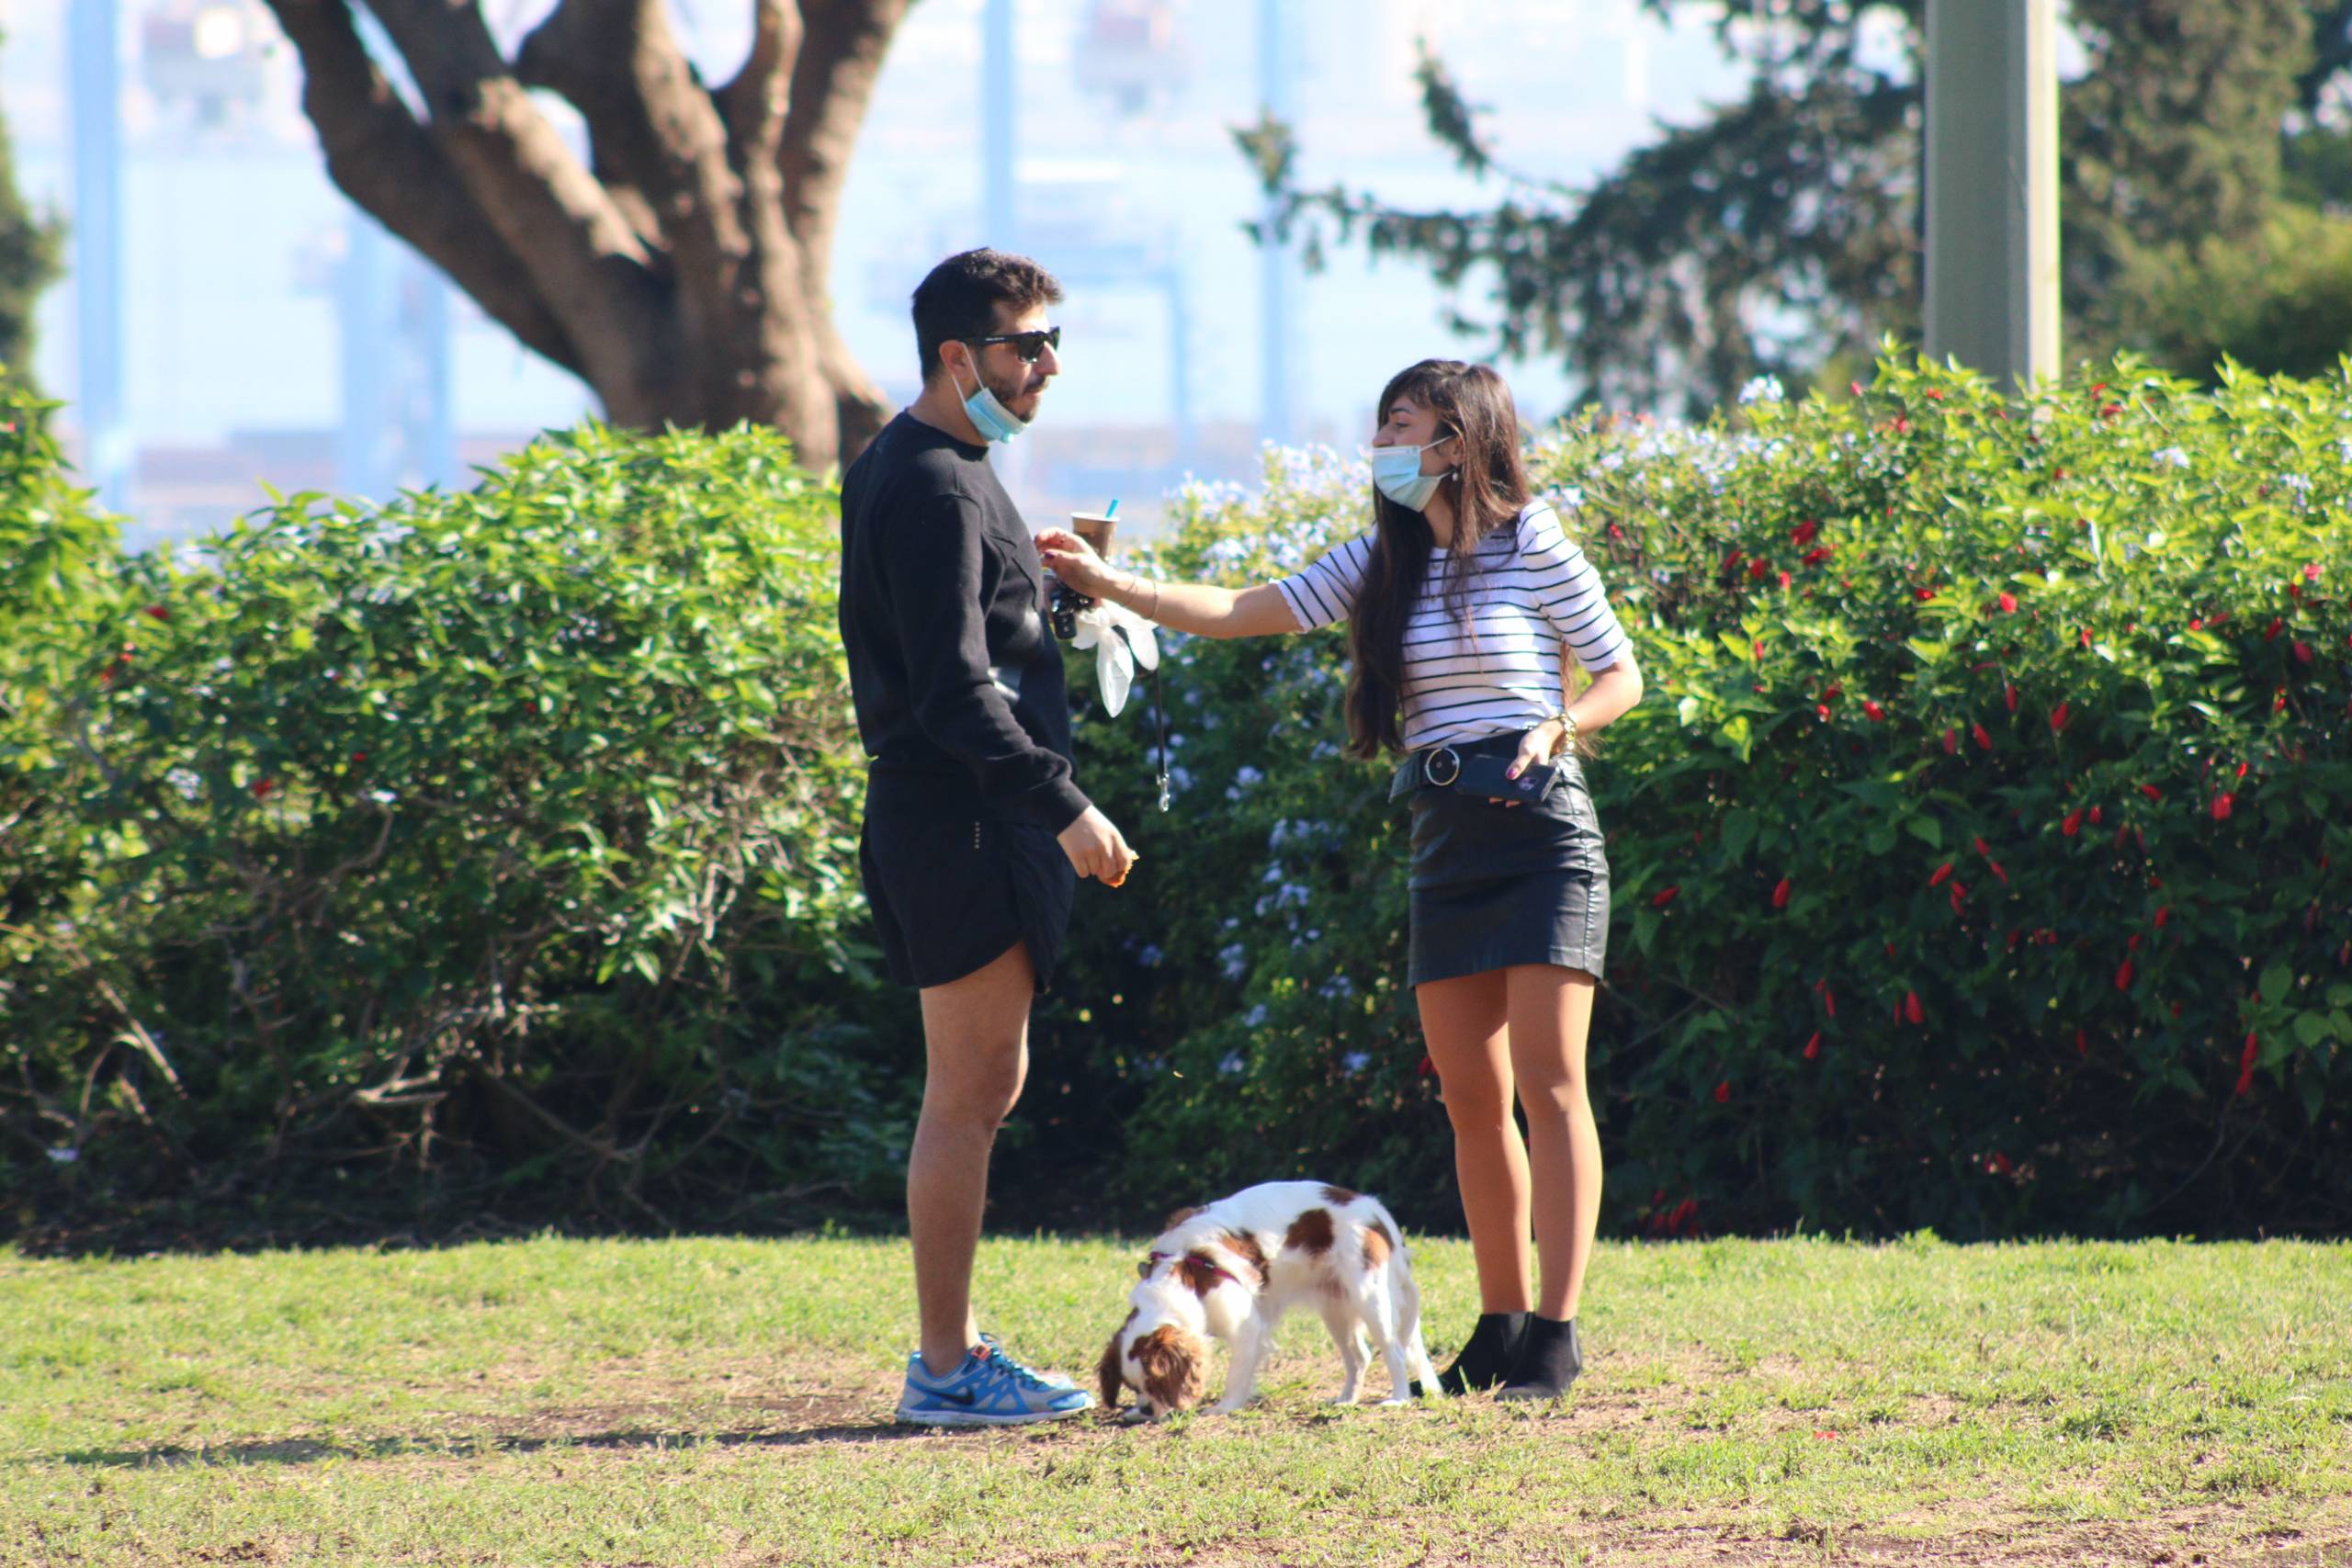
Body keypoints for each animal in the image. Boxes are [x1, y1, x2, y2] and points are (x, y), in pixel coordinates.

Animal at [1095, 1175, 1430, 1419]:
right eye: (1132, 1387)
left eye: (1157, 1383)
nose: (1147, 1409)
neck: (1187, 1274)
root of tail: (1373, 1208)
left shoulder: (1247, 1328)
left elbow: (1236, 1375)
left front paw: (1223, 1407)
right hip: (1334, 1305)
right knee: (1360, 1355)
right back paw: (1346, 1400)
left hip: (1367, 1294)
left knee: (1394, 1350)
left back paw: (1399, 1399)